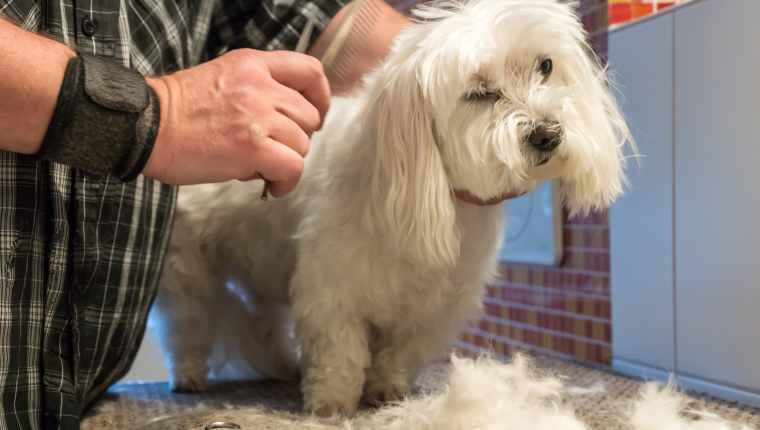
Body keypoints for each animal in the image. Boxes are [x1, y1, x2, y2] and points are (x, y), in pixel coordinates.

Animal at [151, 0, 632, 416]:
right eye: (478, 92)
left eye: (545, 66)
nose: (547, 134)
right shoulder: (333, 289)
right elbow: (340, 351)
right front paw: (331, 403)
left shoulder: (434, 306)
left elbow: (399, 353)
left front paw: (387, 391)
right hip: (187, 272)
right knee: (187, 325)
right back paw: (190, 375)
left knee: (262, 319)